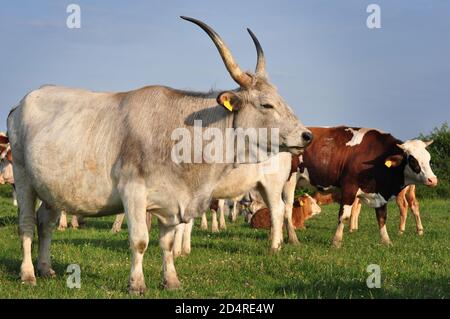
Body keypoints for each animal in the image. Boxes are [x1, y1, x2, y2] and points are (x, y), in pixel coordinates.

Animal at [7, 16, 312, 294]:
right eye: (266, 104)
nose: (306, 135)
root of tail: (22, 101)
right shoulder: (133, 192)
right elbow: (139, 240)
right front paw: (136, 284)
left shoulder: (173, 202)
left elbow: (166, 243)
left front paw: (171, 281)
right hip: (22, 177)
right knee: (26, 224)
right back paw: (28, 274)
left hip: (52, 187)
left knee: (45, 223)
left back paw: (46, 268)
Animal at [284, 127, 436, 248]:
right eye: (412, 159)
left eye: (428, 158)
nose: (433, 180)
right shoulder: (349, 188)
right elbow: (344, 215)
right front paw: (336, 242)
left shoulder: (380, 193)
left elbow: (382, 217)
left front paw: (386, 241)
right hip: (289, 182)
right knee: (286, 210)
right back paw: (293, 239)